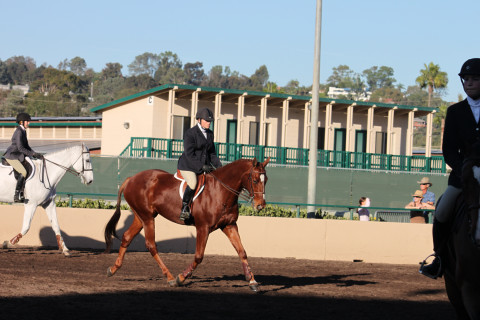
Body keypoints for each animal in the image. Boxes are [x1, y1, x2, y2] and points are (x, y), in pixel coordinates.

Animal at [104, 158, 268, 290]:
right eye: (254, 180)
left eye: (265, 180)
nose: (260, 205)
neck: (221, 192)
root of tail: (131, 178)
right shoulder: (203, 228)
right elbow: (199, 256)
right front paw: (181, 278)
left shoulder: (229, 225)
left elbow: (242, 252)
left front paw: (252, 281)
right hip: (147, 218)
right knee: (151, 245)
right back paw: (170, 277)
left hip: (141, 217)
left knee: (127, 237)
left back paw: (113, 269)